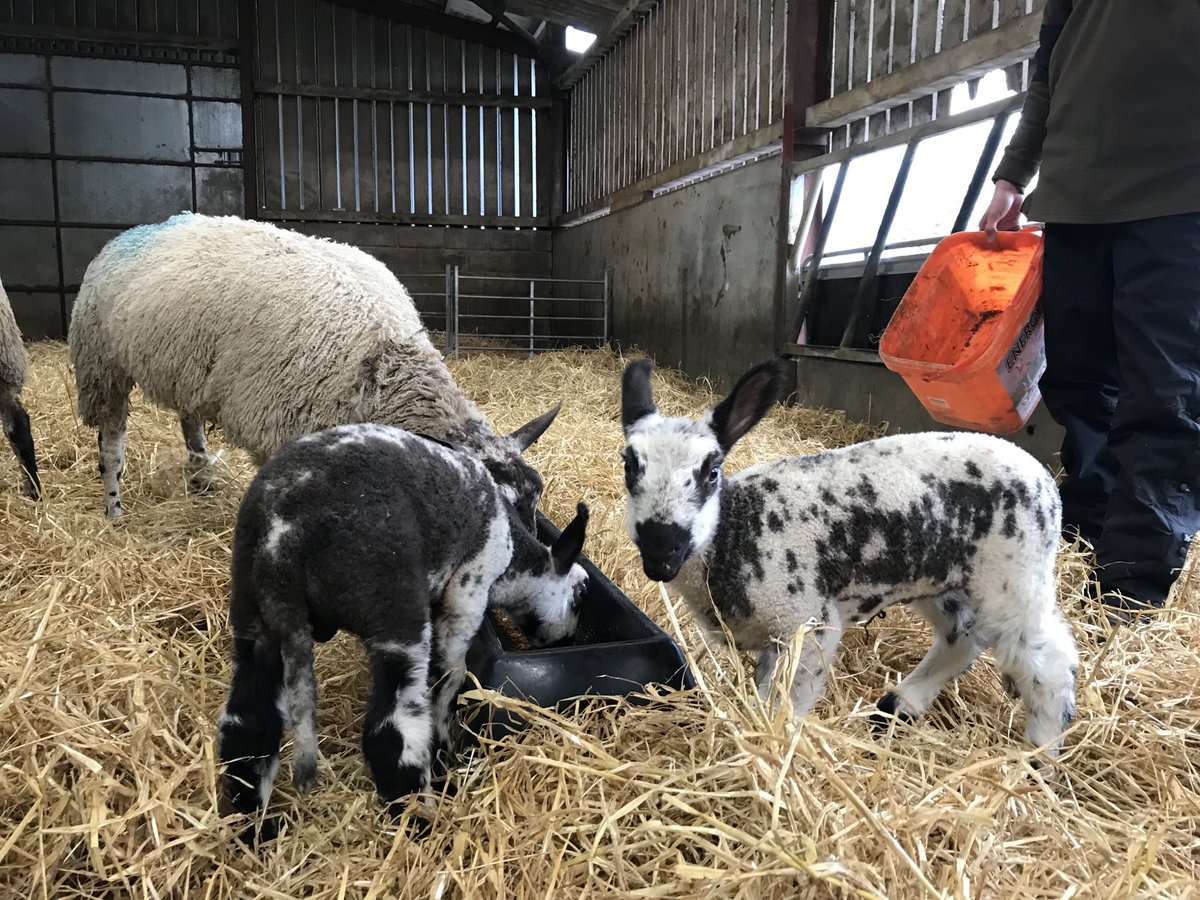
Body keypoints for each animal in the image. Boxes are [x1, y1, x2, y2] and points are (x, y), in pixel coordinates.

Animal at [72, 213, 559, 520]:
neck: (378, 369)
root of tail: (145, 227)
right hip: (101, 364)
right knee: (111, 442)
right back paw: (114, 510)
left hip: (188, 366)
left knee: (190, 421)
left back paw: (202, 481)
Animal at [219, 422, 590, 840]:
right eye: (581, 595)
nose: (568, 639)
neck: (513, 561)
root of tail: (281, 543)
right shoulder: (467, 592)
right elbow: (450, 678)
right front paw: (446, 754)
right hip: (395, 609)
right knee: (390, 733)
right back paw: (422, 824)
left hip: (253, 617)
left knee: (247, 728)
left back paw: (255, 830)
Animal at [619, 360, 1080, 763]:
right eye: (629, 466)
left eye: (711, 471)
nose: (661, 550)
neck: (739, 530)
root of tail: (1044, 480)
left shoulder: (807, 625)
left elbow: (785, 703)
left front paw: (771, 746)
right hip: (939, 577)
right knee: (961, 636)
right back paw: (898, 706)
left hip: (1013, 578)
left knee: (1049, 663)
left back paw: (1039, 757)